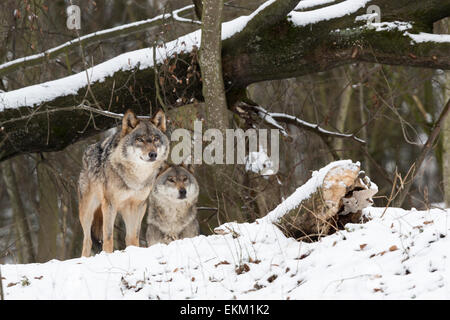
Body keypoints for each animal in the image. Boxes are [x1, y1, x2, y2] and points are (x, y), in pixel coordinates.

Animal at [77, 110, 169, 258]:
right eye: (140, 139)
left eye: (155, 139)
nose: (153, 154)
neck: (135, 179)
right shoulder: (110, 204)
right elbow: (108, 237)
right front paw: (108, 256)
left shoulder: (138, 205)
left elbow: (133, 236)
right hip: (88, 212)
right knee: (87, 241)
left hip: (124, 210)